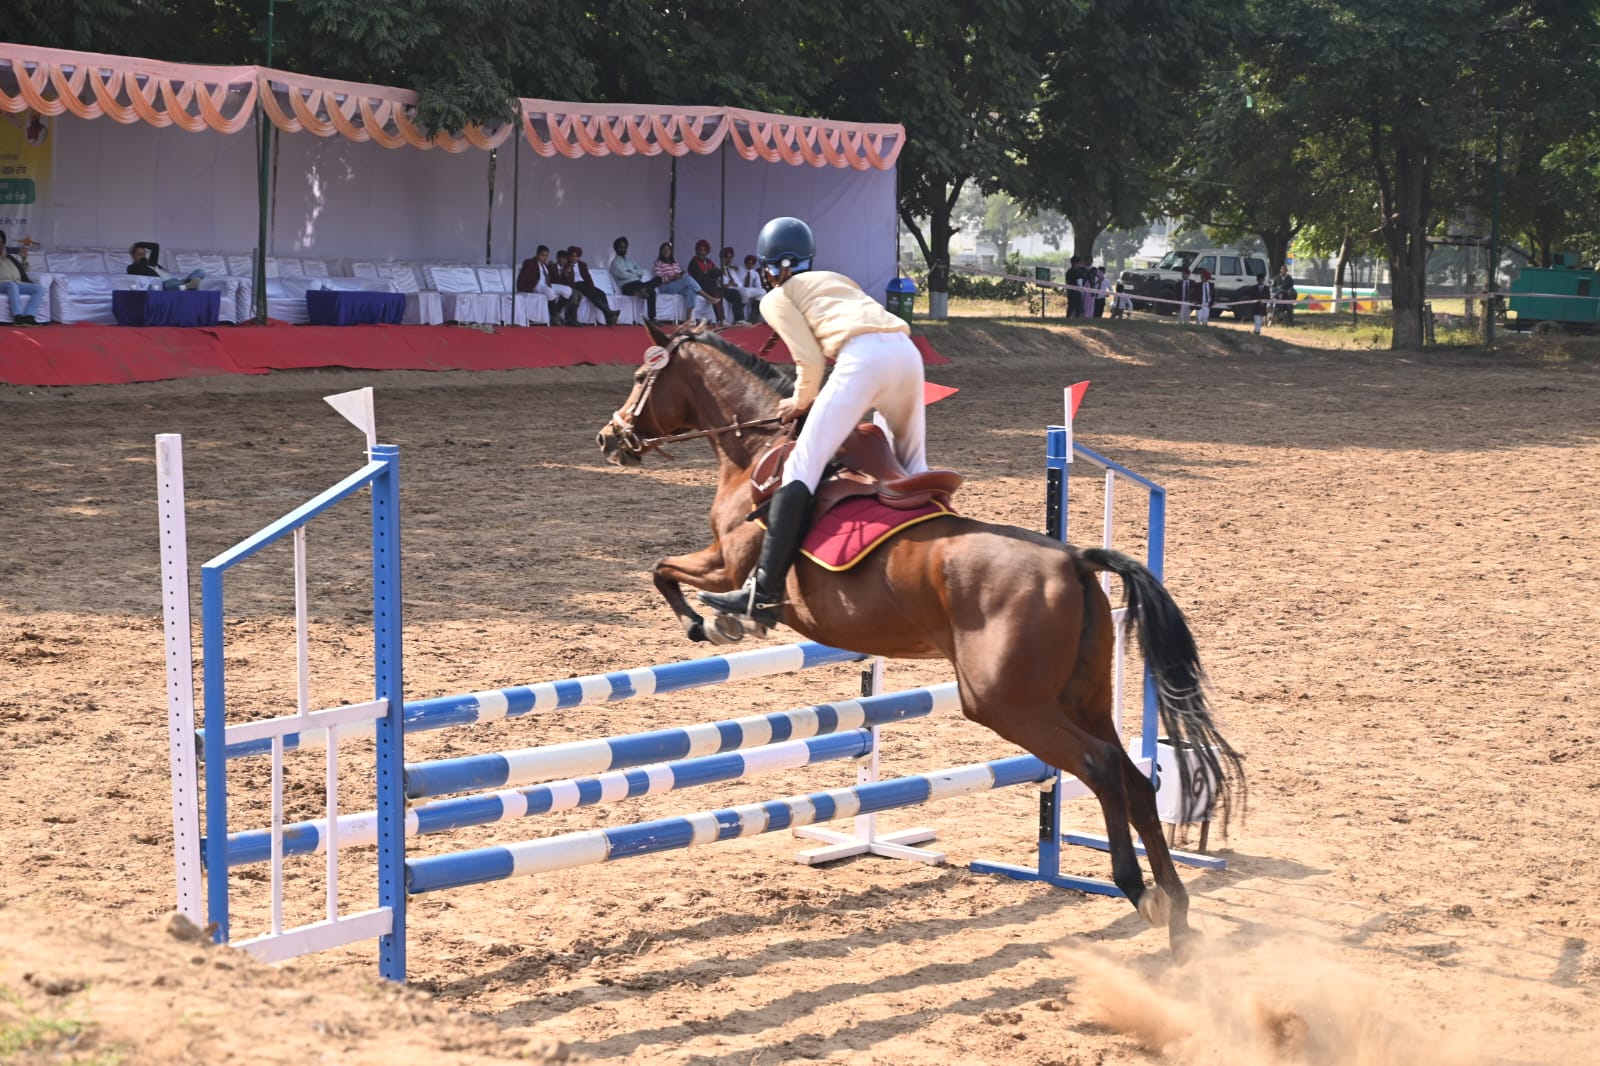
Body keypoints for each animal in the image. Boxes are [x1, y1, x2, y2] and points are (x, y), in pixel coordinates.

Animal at [595, 321, 1243, 958]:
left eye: (641, 376)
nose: (609, 437)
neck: (756, 451)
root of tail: (1075, 559)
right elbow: (662, 569)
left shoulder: (729, 563)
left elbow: (665, 572)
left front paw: (714, 621)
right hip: (1080, 695)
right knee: (1134, 779)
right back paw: (1179, 915)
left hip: (1005, 704)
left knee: (1102, 766)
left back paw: (1139, 891)